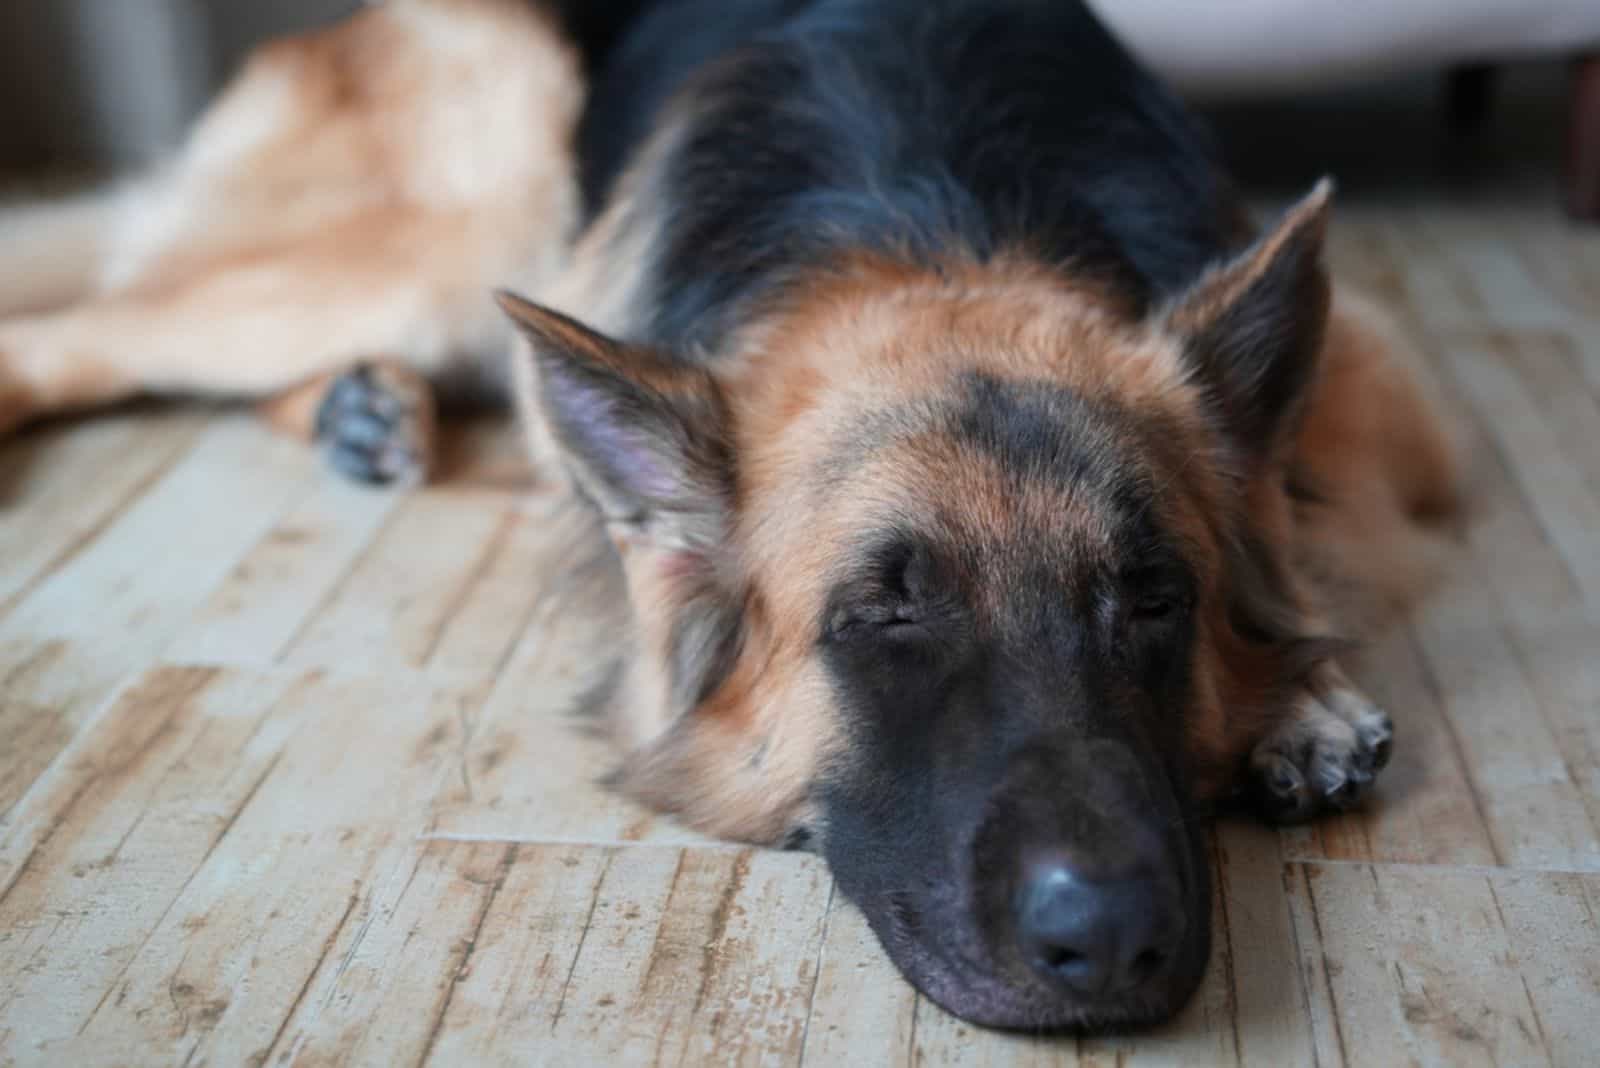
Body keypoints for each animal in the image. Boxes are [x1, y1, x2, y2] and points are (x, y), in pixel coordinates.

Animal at [0, 0, 1465, 1036]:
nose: (1105, 938)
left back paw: (368, 412)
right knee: (83, 332)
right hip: (453, 227)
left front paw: (1301, 692)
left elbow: (1311, 527)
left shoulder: (1376, 388)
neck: (931, 221)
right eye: (882, 616)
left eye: (1157, 598)